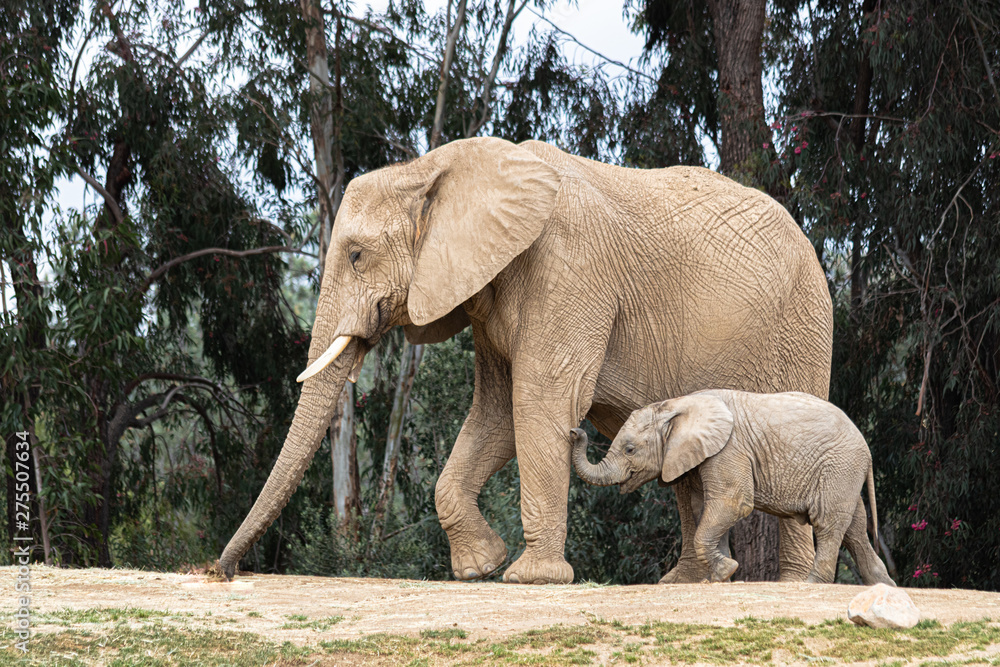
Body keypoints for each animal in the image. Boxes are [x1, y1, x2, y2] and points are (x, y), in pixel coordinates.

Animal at [221, 137, 836, 584]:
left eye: (355, 254)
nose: (223, 571)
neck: (437, 167)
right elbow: (495, 413)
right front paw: (480, 568)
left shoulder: (570, 268)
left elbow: (538, 401)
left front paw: (529, 578)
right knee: (685, 470)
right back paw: (684, 583)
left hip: (803, 328)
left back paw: (792, 585)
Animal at [576, 388, 896, 588]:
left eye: (630, 449)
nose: (575, 431)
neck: (676, 405)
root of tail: (865, 447)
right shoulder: (702, 457)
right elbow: (704, 509)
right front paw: (720, 577)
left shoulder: (728, 449)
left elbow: (732, 503)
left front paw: (726, 571)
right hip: (845, 472)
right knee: (854, 528)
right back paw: (885, 584)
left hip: (839, 465)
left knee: (828, 522)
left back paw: (811, 583)